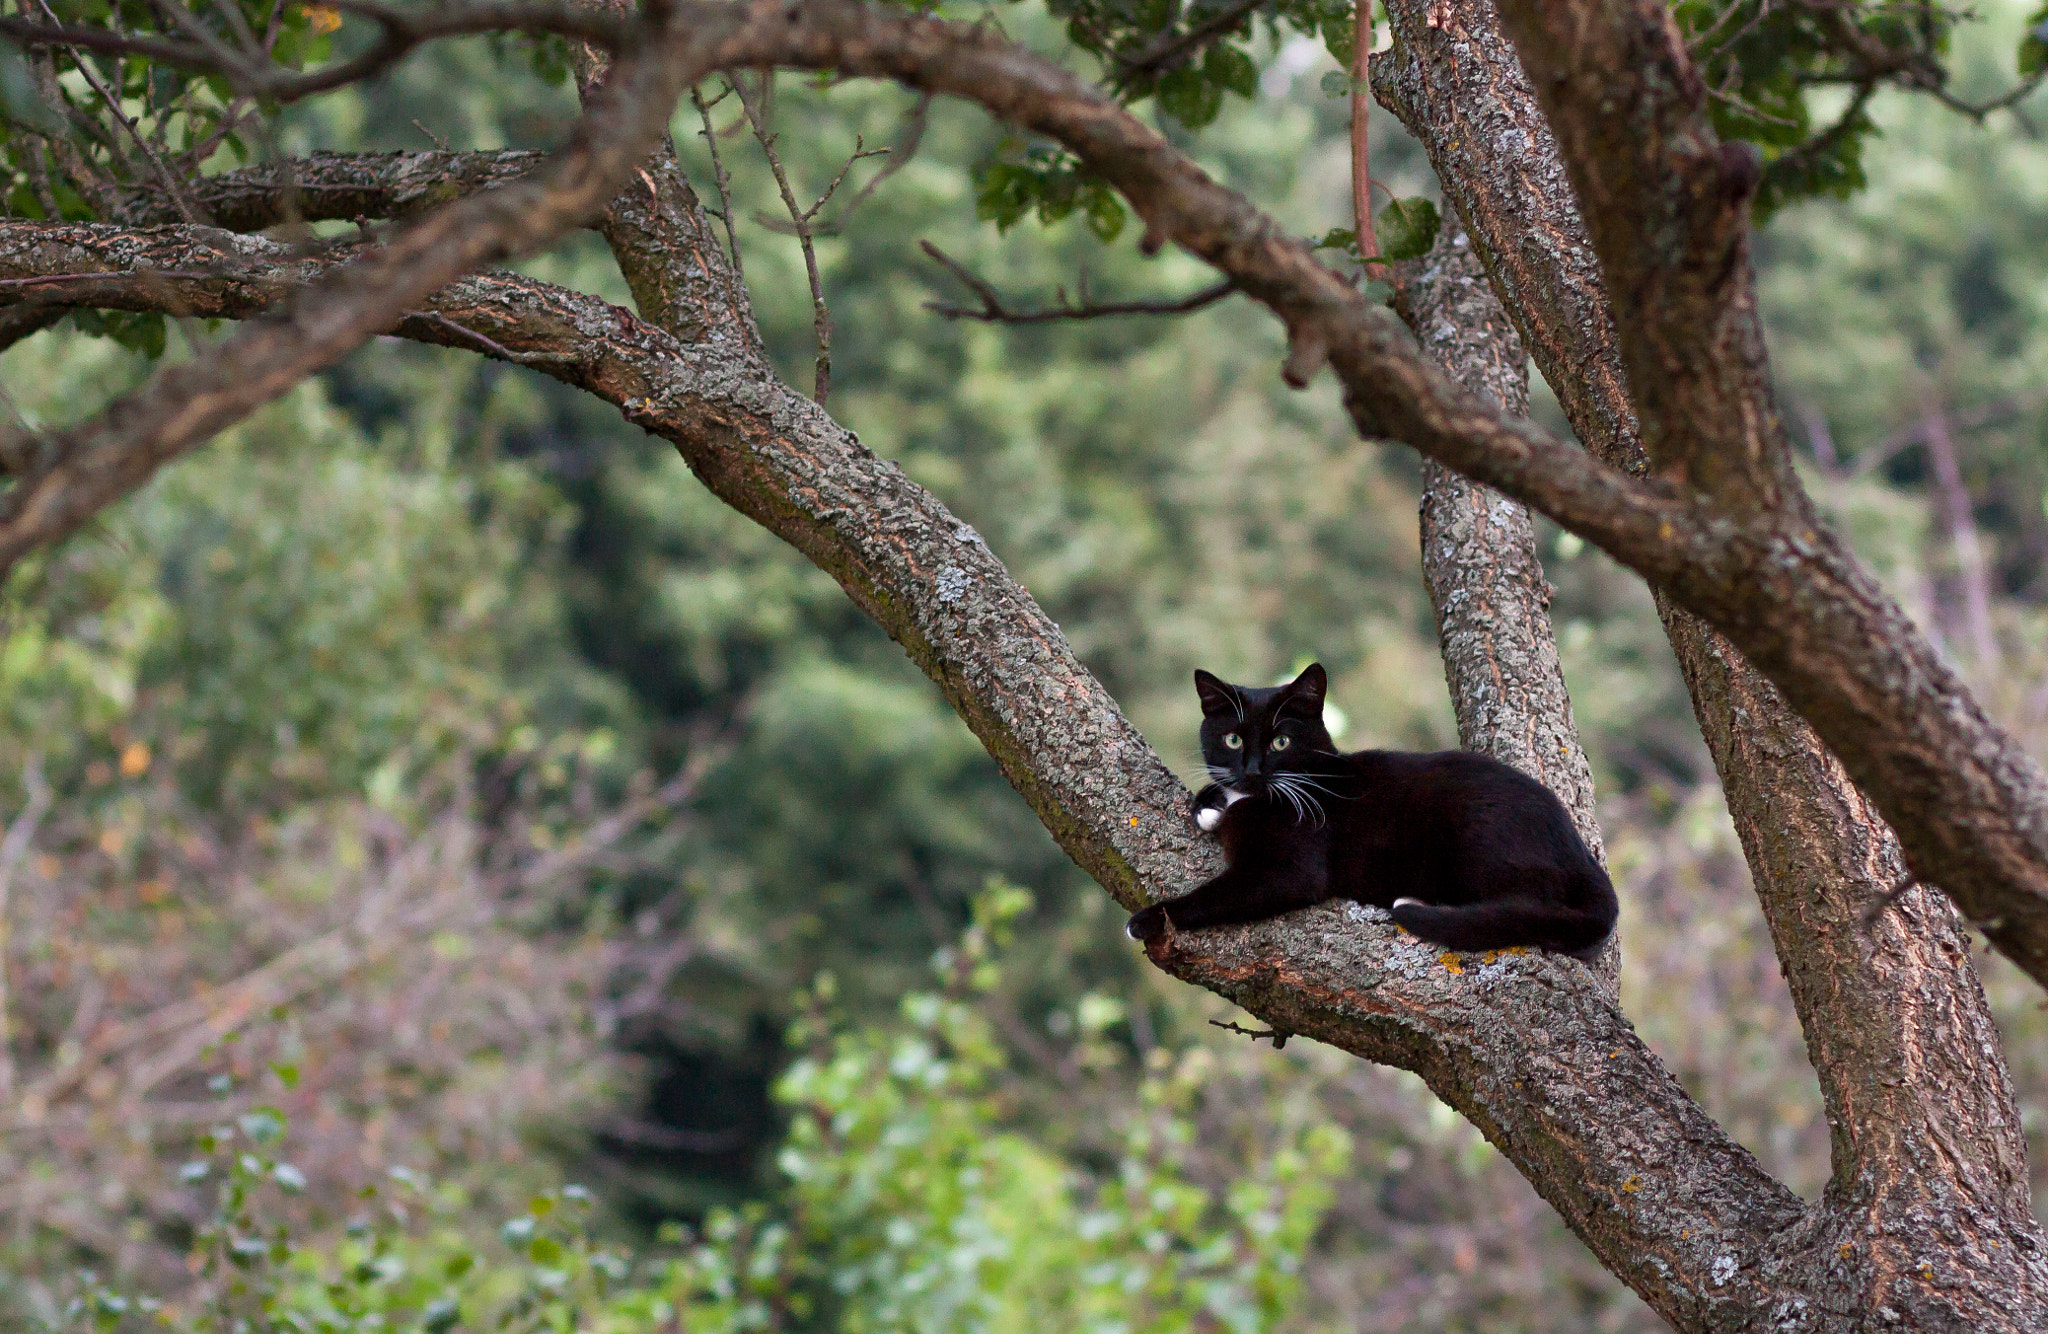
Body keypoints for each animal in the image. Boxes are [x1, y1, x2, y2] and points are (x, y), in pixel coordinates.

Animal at [1138, 663, 1613, 959]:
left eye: (1281, 742)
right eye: (1232, 739)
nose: (1252, 770)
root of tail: (1579, 854)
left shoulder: (1291, 867)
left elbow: (1224, 893)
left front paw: (1148, 919)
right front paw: (1207, 803)